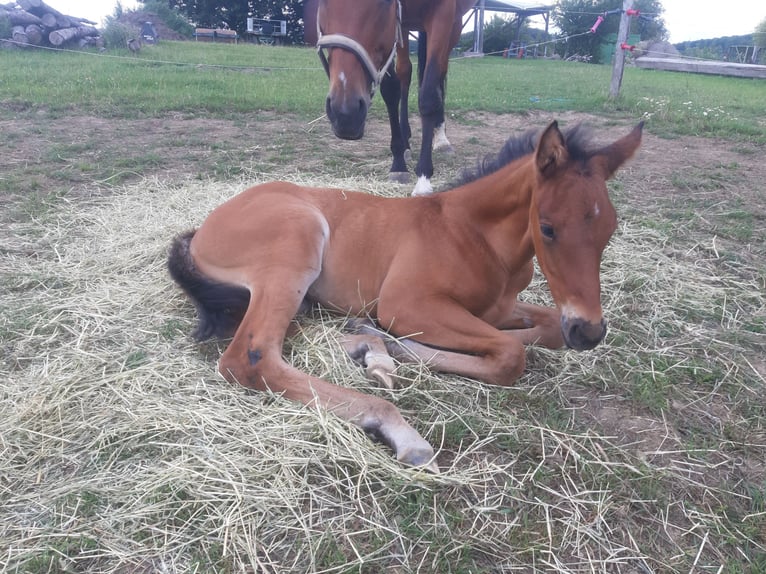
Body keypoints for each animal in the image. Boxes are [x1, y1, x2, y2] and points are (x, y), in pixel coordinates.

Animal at [168, 121, 640, 472]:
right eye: (547, 227)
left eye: (610, 228)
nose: (589, 332)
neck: (472, 234)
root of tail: (201, 229)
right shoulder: (406, 305)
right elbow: (509, 354)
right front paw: (397, 346)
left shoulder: (501, 308)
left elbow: (542, 332)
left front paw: (384, 345)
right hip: (296, 244)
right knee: (251, 357)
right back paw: (396, 425)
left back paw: (365, 346)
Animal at [310, 0, 474, 196]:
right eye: (322, 3)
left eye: (385, 2)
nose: (345, 114)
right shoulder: (396, 27)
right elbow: (391, 90)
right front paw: (398, 163)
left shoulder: (443, 15)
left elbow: (428, 95)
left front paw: (423, 179)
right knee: (405, 72)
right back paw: (406, 140)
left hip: (453, 28)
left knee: (439, 75)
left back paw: (441, 137)